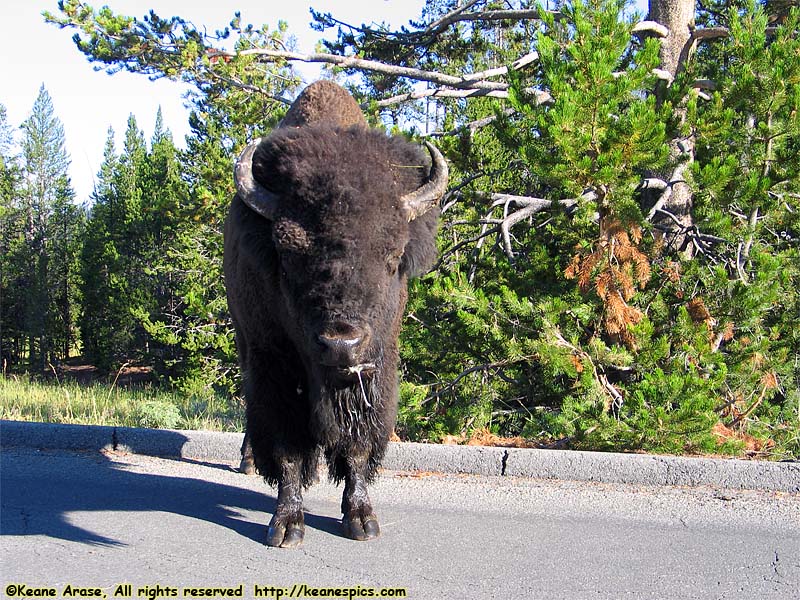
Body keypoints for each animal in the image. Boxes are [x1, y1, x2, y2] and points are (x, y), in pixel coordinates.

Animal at [225, 81, 446, 548]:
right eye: (287, 252)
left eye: (394, 255)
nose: (341, 343)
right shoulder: (274, 364)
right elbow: (288, 449)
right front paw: (286, 526)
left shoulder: (374, 369)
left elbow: (358, 445)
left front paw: (361, 519)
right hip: (244, 341)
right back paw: (248, 461)